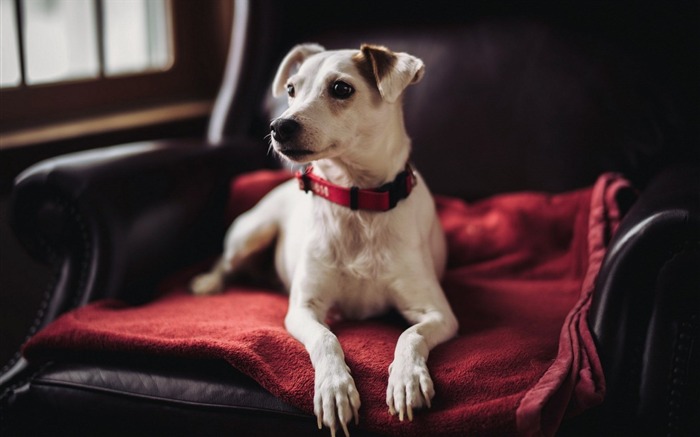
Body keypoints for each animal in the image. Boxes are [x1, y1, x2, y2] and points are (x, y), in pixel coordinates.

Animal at [191, 41, 460, 436]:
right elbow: (325, 338)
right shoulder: (303, 309)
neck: (357, 201)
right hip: (250, 233)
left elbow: (411, 335)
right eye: (290, 89)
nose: (278, 126)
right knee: (225, 262)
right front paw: (335, 388)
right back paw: (208, 283)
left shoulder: (439, 313)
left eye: (341, 89)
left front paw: (407, 378)